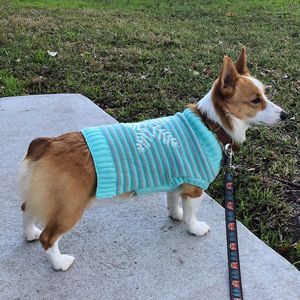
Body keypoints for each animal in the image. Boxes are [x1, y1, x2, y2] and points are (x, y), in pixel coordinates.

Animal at [19, 46, 288, 272]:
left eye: (265, 95)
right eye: (256, 100)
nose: (285, 115)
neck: (210, 123)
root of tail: (47, 143)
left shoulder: (177, 181)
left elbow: (173, 201)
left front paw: (175, 215)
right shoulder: (196, 188)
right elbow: (192, 213)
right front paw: (194, 227)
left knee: (27, 209)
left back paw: (30, 233)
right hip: (70, 208)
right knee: (48, 237)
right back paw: (59, 262)